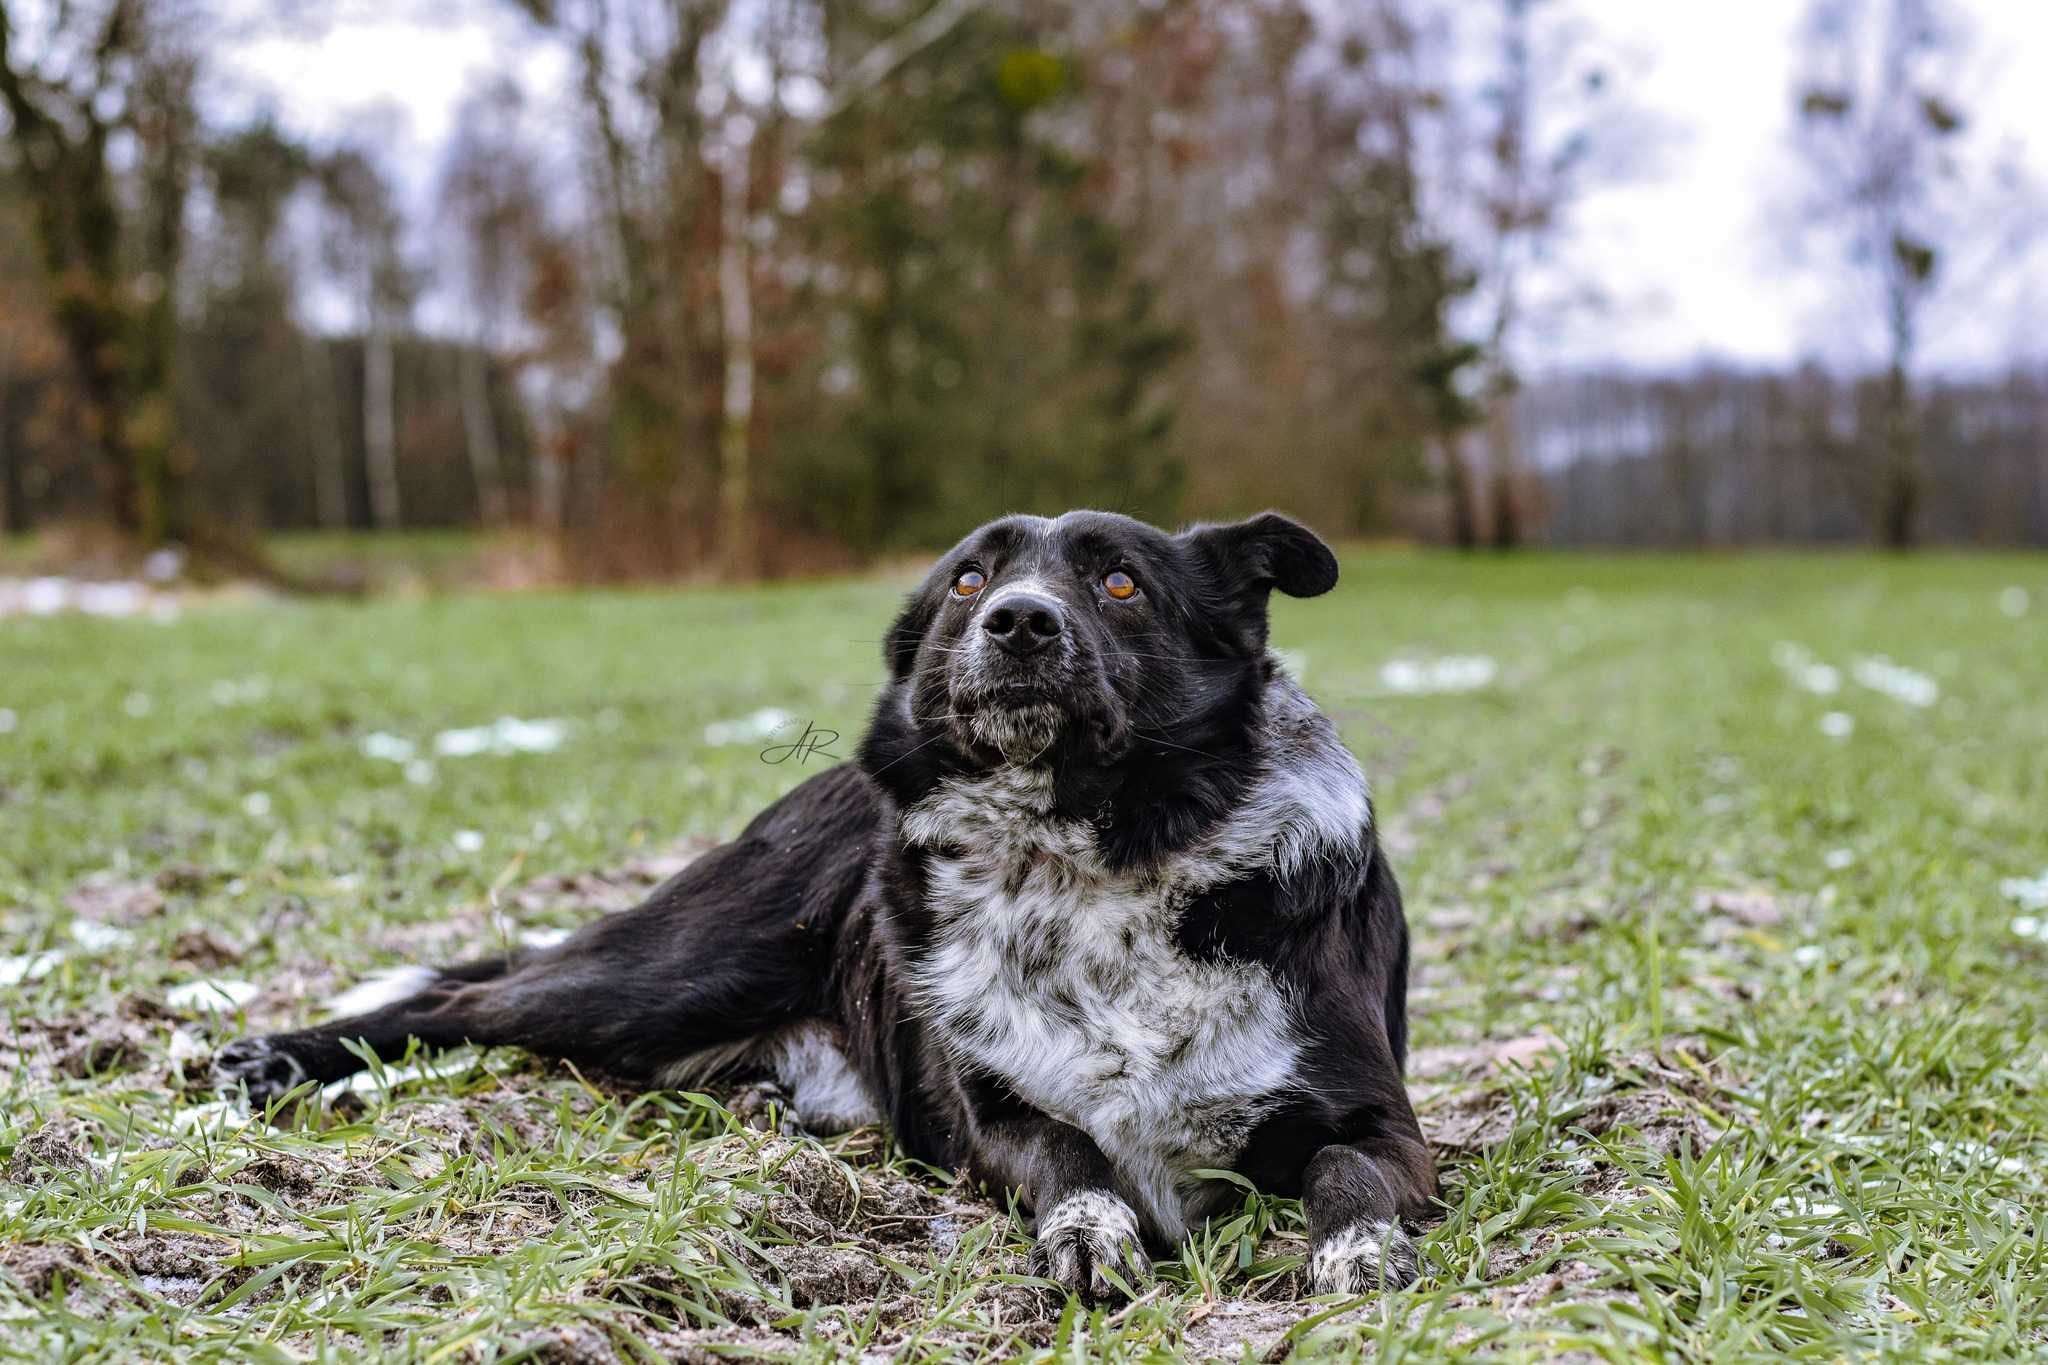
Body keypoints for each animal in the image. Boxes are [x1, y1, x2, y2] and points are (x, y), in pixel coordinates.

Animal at [216, 509, 1433, 1301]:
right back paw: (269, 1058)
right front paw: (1089, 1234)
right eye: (966, 582)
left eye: (1121, 582)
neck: (1090, 860)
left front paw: (1358, 1250)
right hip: (682, 966)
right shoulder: (995, 1123)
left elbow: (1345, 1171)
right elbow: (1074, 1159)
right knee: (468, 1003)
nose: (1017, 621)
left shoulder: (1382, 1120)